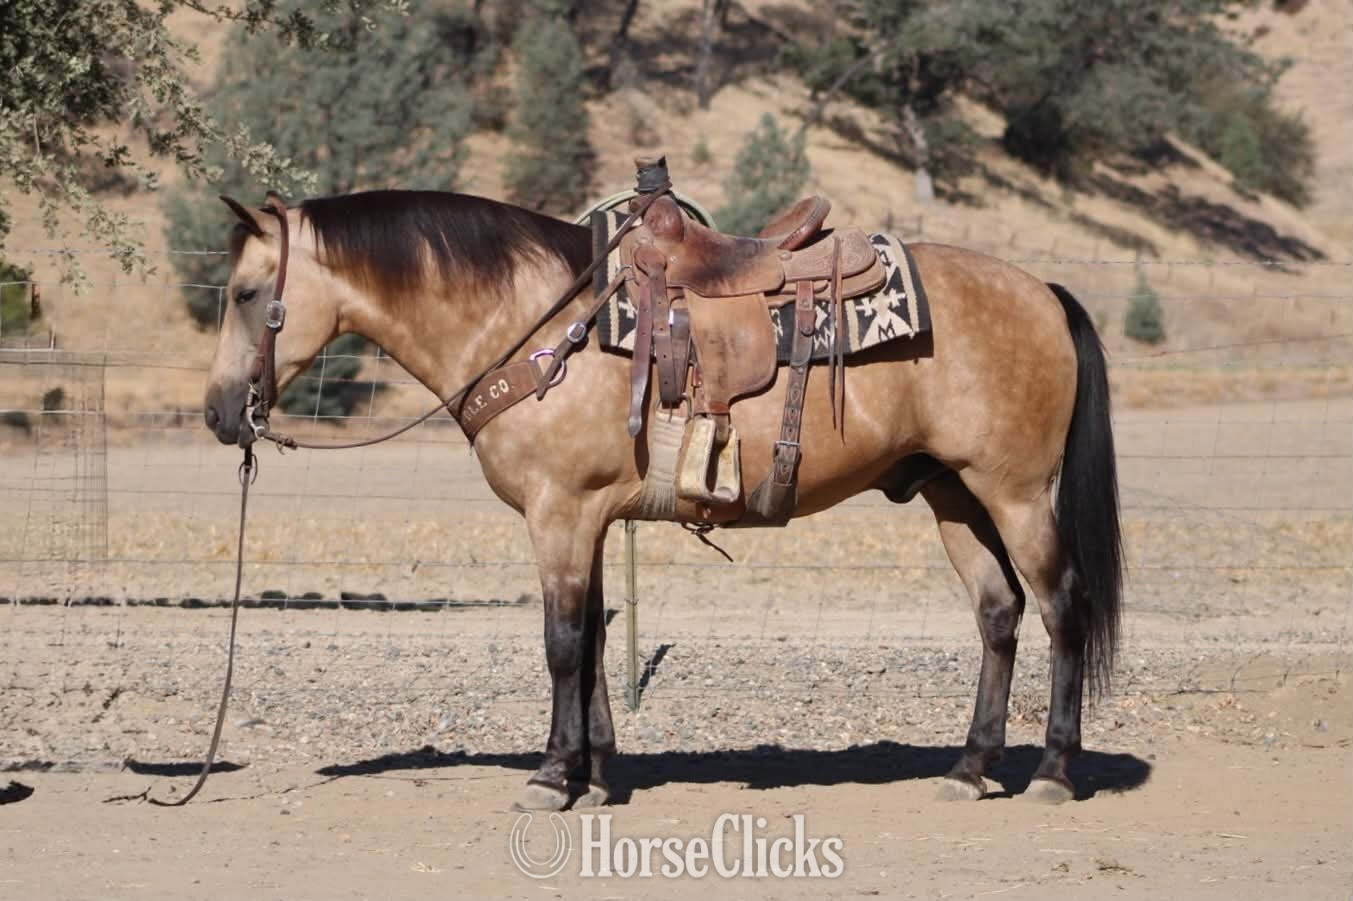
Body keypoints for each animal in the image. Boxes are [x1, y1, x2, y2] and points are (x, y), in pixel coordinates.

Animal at [203, 187, 1122, 810]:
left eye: (246, 294)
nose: (217, 412)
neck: (538, 326)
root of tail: (1043, 290)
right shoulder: (588, 518)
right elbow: (594, 642)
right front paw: (597, 775)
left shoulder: (560, 513)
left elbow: (562, 644)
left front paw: (550, 775)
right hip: (952, 492)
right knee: (998, 612)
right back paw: (968, 768)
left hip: (1014, 493)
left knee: (1061, 606)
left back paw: (1049, 770)